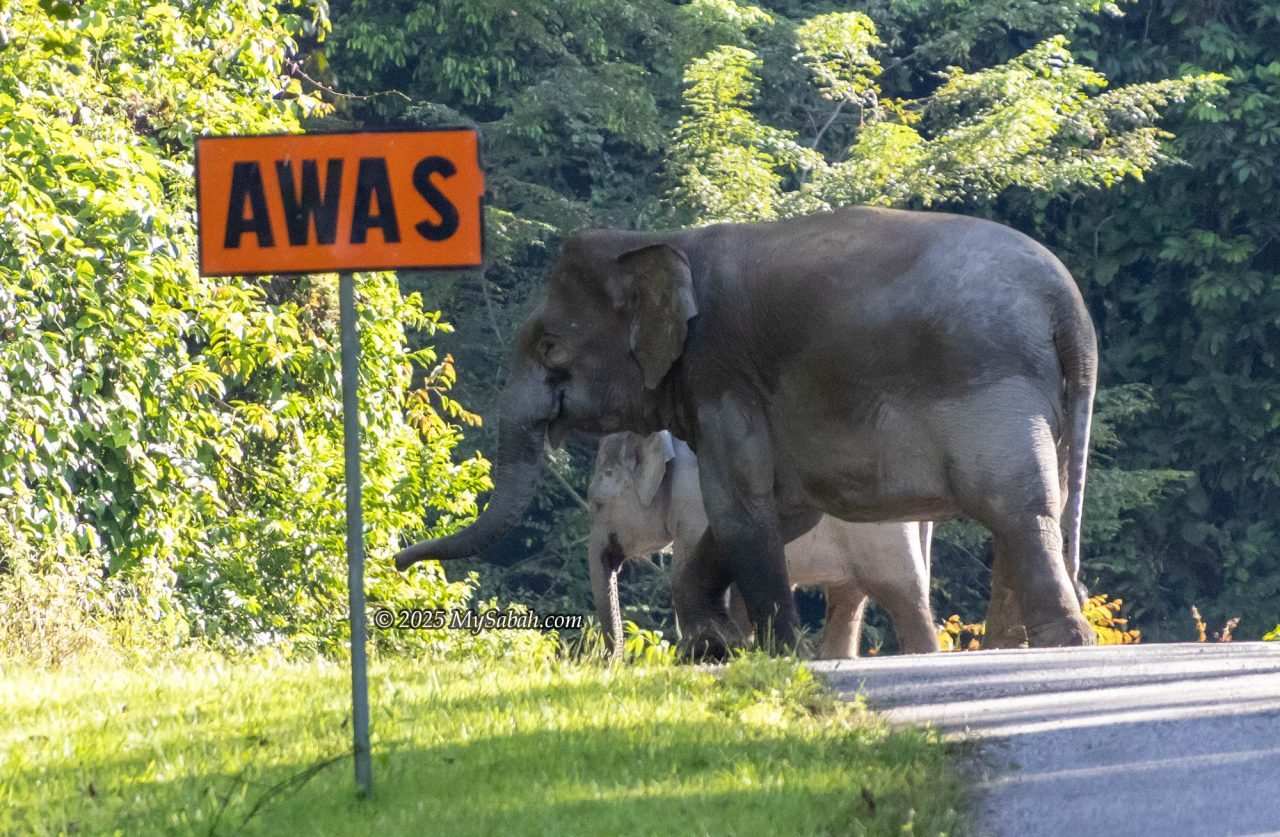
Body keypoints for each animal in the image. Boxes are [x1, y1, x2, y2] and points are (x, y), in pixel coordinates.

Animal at [587, 430, 938, 659]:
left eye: (597, 505)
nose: (617, 661)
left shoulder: (695, 507)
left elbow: (685, 573)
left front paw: (706, 653)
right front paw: (739, 649)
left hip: (883, 537)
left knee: (903, 595)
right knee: (848, 598)